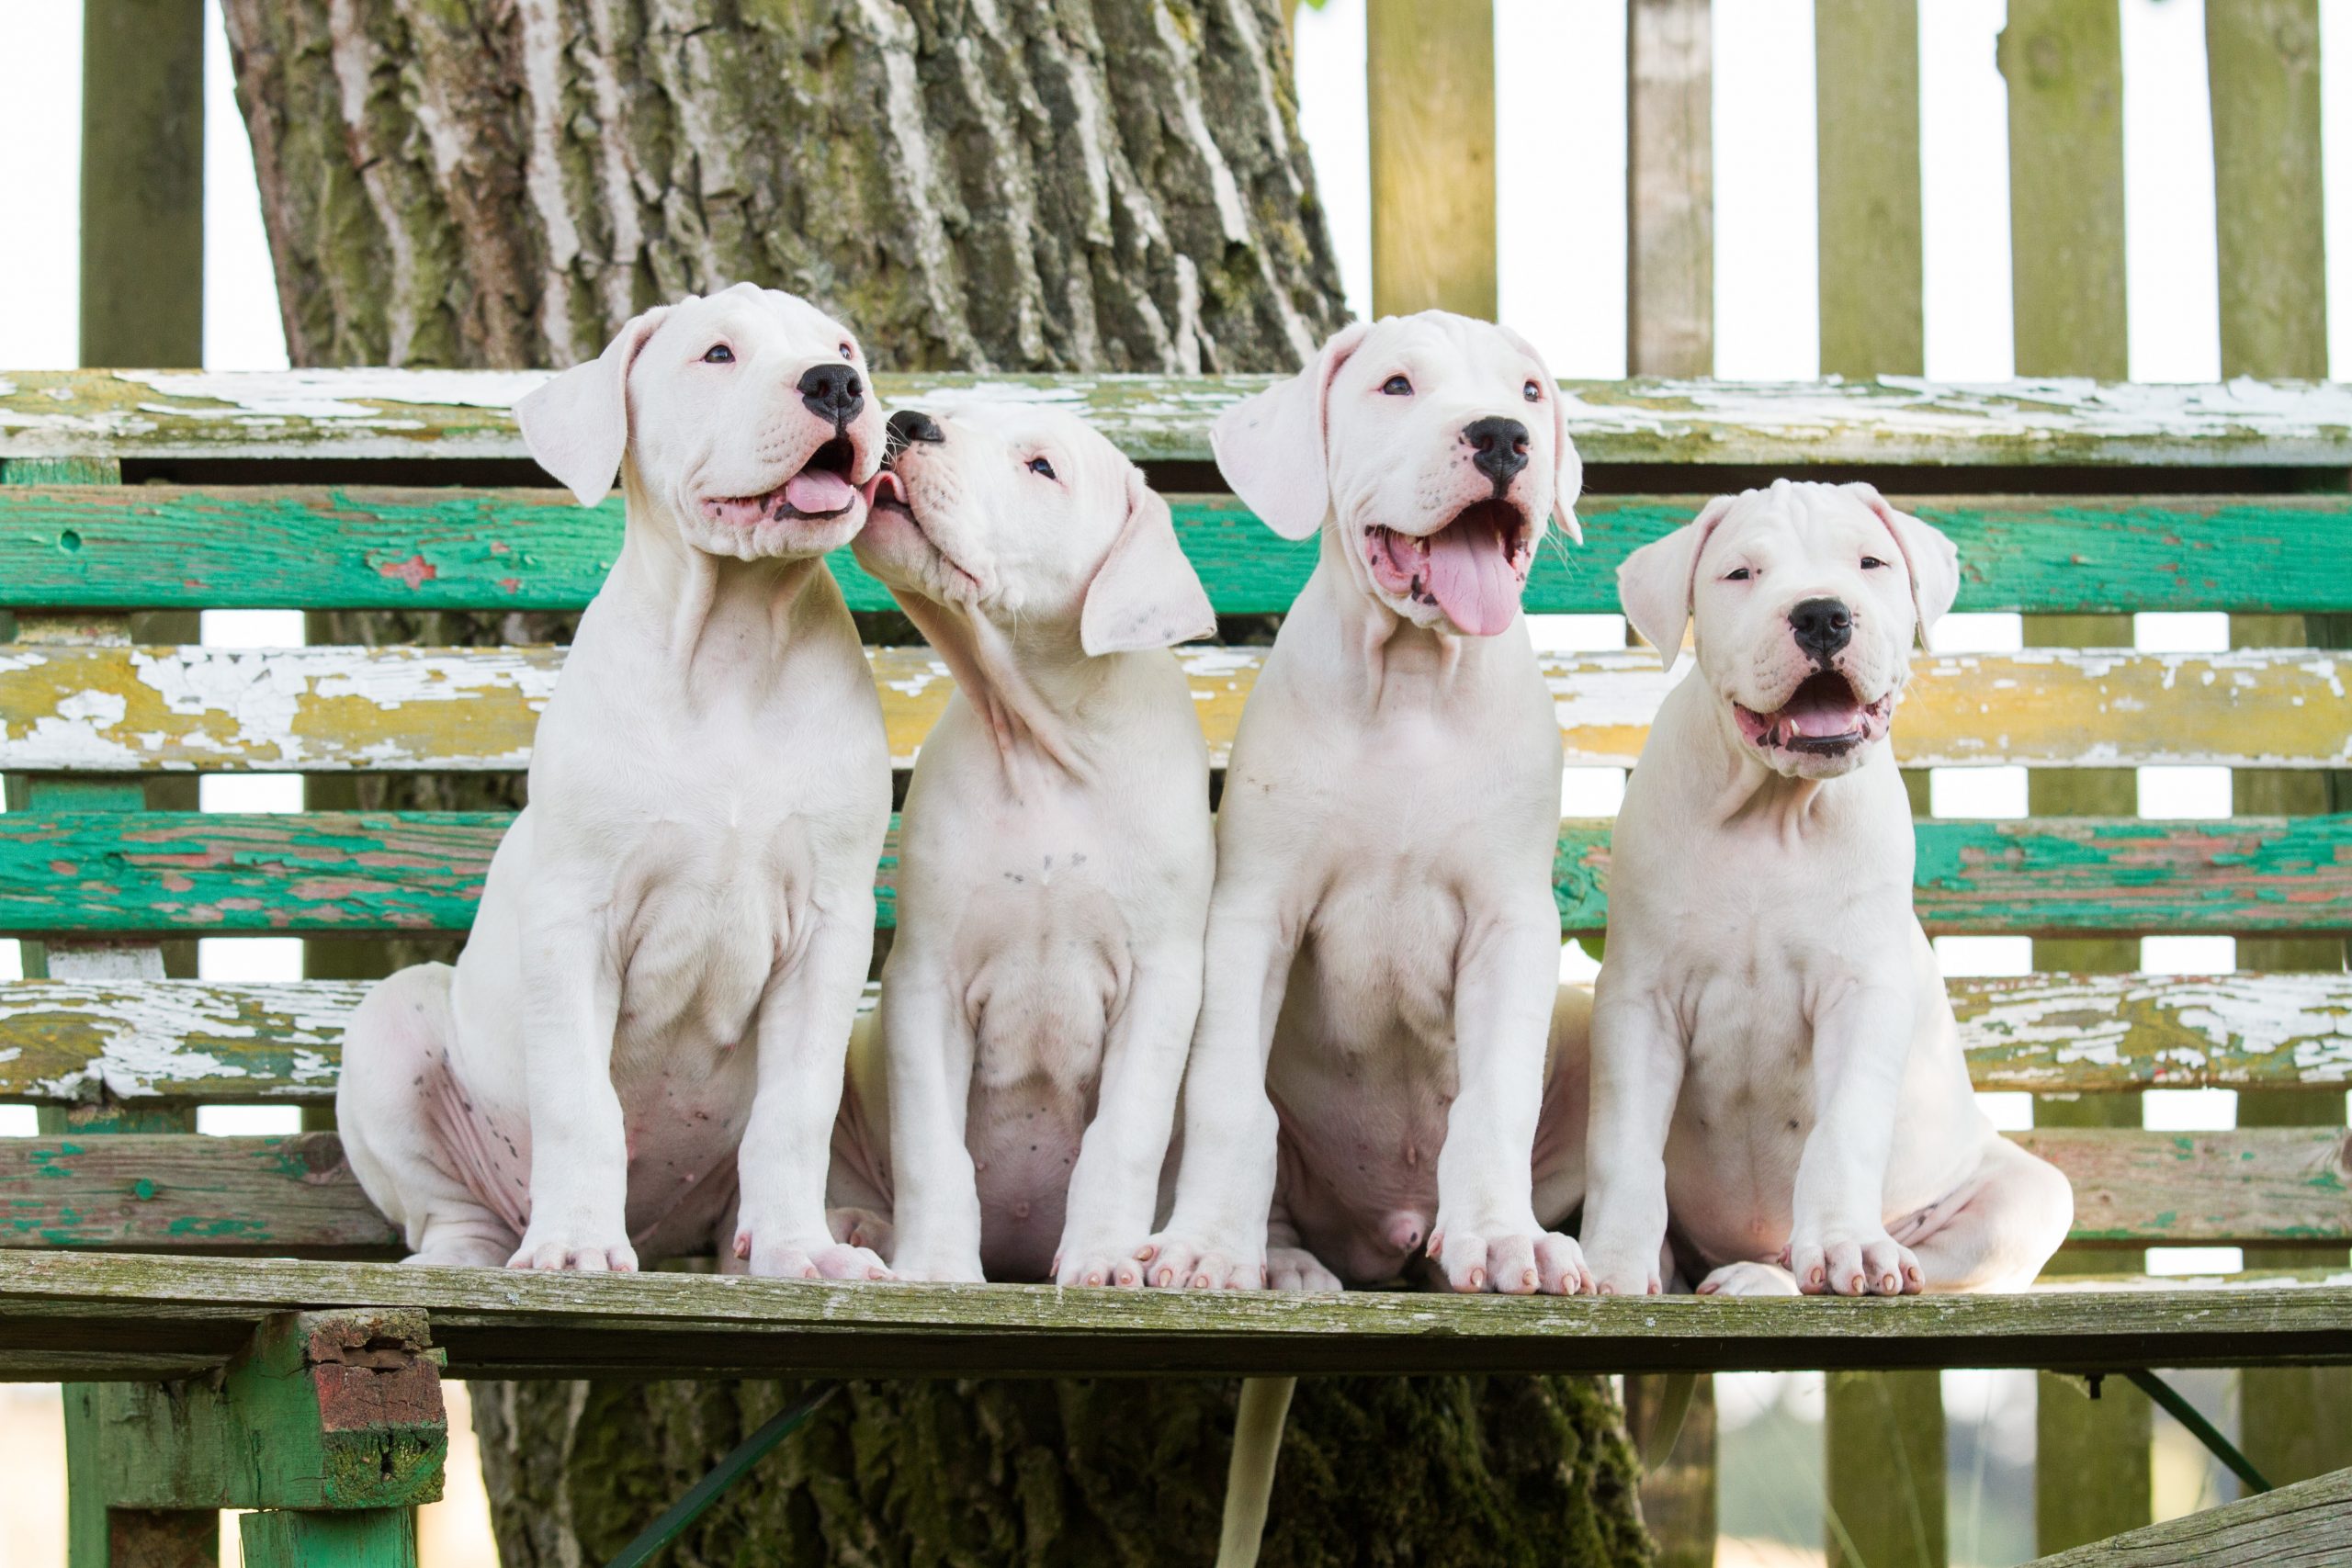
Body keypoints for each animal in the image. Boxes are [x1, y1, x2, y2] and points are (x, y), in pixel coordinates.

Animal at [341, 288, 898, 1279]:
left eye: (843, 348)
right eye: (717, 354)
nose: (837, 386)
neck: (734, 644)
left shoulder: (831, 928)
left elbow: (795, 1109)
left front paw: (803, 1252)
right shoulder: (576, 916)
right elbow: (579, 1102)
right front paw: (571, 1247)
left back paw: (795, 1239)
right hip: (391, 1029)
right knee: (452, 1209)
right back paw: (479, 1252)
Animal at [823, 401, 1223, 1288]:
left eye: (1041, 467)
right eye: (951, 408)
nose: (910, 420)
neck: (1048, 751)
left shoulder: (1162, 979)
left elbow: (1124, 1133)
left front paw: (1105, 1256)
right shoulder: (925, 979)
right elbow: (933, 1148)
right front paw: (938, 1267)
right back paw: (859, 1226)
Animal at [1128, 310, 1589, 1297]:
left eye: (1531, 392)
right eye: (1397, 386)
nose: (1504, 436)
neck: (1412, 682)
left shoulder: (1511, 922)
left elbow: (1496, 1094)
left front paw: (1503, 1237)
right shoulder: (1252, 913)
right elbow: (1230, 1098)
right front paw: (1209, 1246)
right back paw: (1282, 1263)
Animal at [1571, 481, 2069, 1297]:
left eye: (1870, 563)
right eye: (1741, 573)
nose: (1821, 614)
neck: (1773, 813)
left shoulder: (1860, 994)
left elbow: (1844, 1132)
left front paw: (1848, 1248)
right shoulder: (1640, 999)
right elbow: (1624, 1146)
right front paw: (1611, 1262)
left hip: (2028, 1195)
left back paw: (1776, 1273)